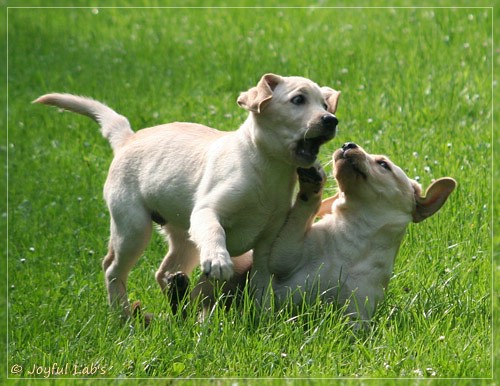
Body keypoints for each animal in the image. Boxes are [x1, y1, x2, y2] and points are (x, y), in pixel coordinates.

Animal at [34, 73, 340, 320]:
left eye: (325, 106)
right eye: (298, 100)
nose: (331, 120)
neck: (267, 168)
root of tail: (128, 138)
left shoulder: (268, 239)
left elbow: (262, 281)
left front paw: (262, 316)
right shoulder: (206, 212)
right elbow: (216, 231)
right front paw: (218, 260)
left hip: (185, 238)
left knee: (163, 271)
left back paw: (178, 301)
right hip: (133, 227)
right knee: (112, 269)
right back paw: (122, 315)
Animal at [192, 143, 458, 322]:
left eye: (383, 165)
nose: (348, 144)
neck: (355, 234)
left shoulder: (357, 312)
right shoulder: (284, 256)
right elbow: (298, 218)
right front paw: (311, 188)